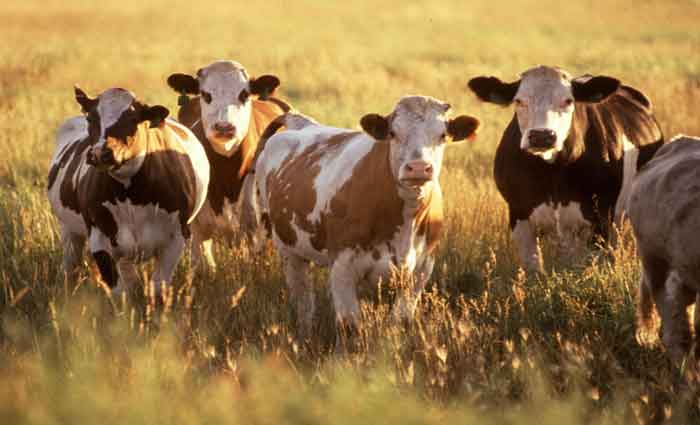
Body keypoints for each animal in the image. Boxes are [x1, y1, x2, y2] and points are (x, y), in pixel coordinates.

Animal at [47, 86, 209, 295]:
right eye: (91, 118)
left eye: (133, 119)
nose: (100, 153)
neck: (131, 195)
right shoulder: (100, 240)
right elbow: (120, 292)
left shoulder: (176, 238)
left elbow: (158, 287)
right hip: (69, 231)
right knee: (70, 266)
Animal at [255, 96, 480, 345]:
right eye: (393, 133)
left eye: (442, 135)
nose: (418, 168)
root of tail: (302, 122)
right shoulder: (342, 265)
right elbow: (349, 325)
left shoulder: (422, 269)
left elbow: (401, 320)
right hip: (288, 250)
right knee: (304, 302)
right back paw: (305, 338)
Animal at [467, 66, 664, 273]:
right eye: (518, 101)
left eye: (568, 101)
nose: (541, 136)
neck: (552, 172)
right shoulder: (518, 214)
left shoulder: (600, 217)